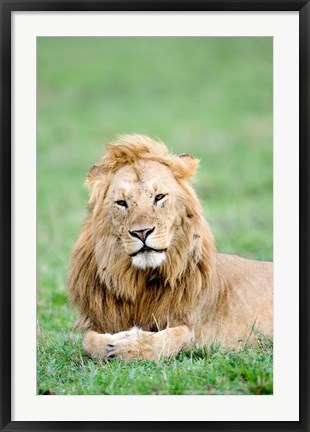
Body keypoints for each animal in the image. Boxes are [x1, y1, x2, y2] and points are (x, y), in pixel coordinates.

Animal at [67, 132, 272, 362]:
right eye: (121, 203)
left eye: (159, 197)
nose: (142, 232)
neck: (141, 282)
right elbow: (89, 341)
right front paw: (117, 343)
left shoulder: (198, 332)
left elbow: (169, 339)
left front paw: (127, 346)